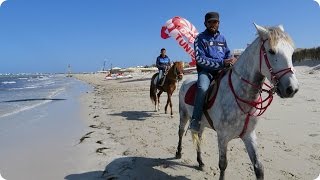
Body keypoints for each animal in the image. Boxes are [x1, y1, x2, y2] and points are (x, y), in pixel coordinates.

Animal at [176, 23, 298, 179]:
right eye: (271, 51)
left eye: (291, 52)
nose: (292, 89)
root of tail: (185, 81)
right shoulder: (223, 137)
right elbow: (223, 165)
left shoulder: (249, 135)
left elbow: (259, 168)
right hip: (183, 114)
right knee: (180, 132)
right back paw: (178, 152)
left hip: (200, 123)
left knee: (198, 136)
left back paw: (200, 162)